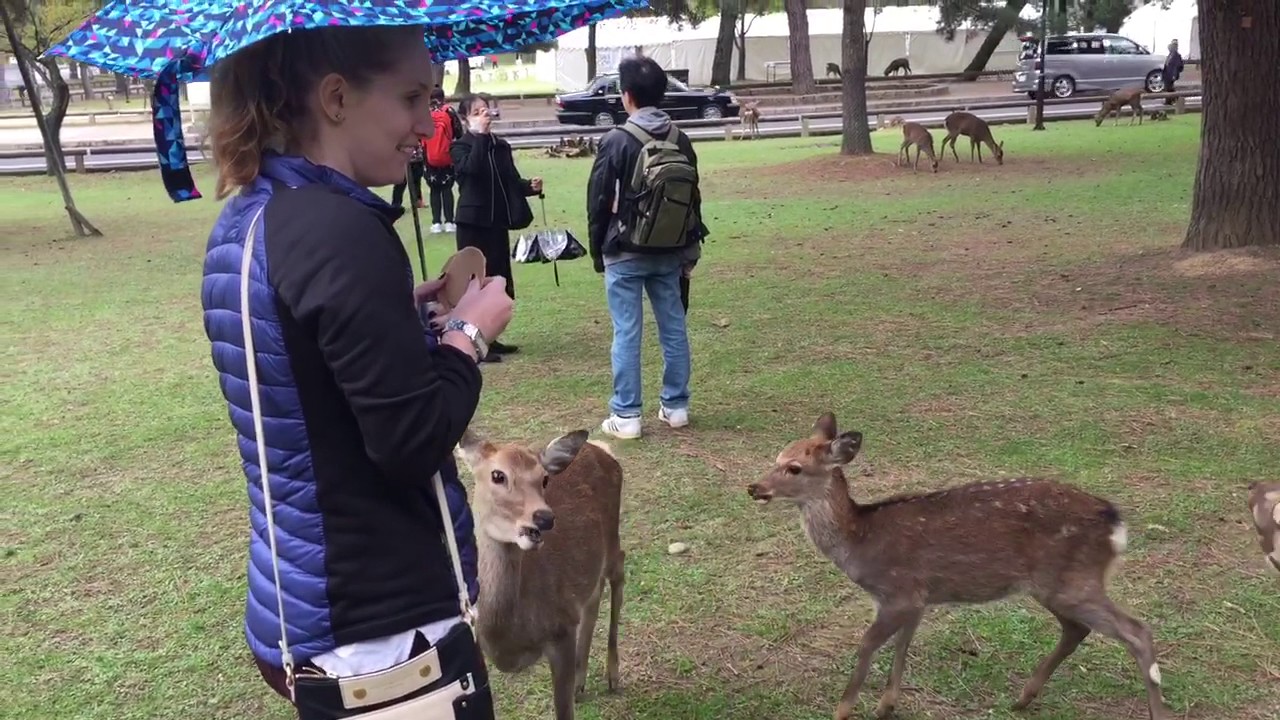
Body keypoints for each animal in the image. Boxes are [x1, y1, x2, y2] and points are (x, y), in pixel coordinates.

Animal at [457, 428, 626, 720]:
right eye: (497, 475)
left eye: (544, 478)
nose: (544, 518)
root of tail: (601, 449)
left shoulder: (562, 631)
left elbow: (563, 711)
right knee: (594, 596)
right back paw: (581, 682)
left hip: (612, 537)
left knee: (619, 569)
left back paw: (612, 675)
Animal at [746, 413, 1169, 720]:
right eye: (776, 458)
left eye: (795, 468)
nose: (754, 488)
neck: (860, 541)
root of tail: (1115, 523)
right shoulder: (918, 599)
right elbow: (903, 644)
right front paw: (886, 706)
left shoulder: (898, 592)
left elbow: (867, 644)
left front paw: (843, 711)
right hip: (1057, 585)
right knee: (1077, 629)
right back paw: (1022, 699)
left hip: (1072, 581)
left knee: (1137, 631)